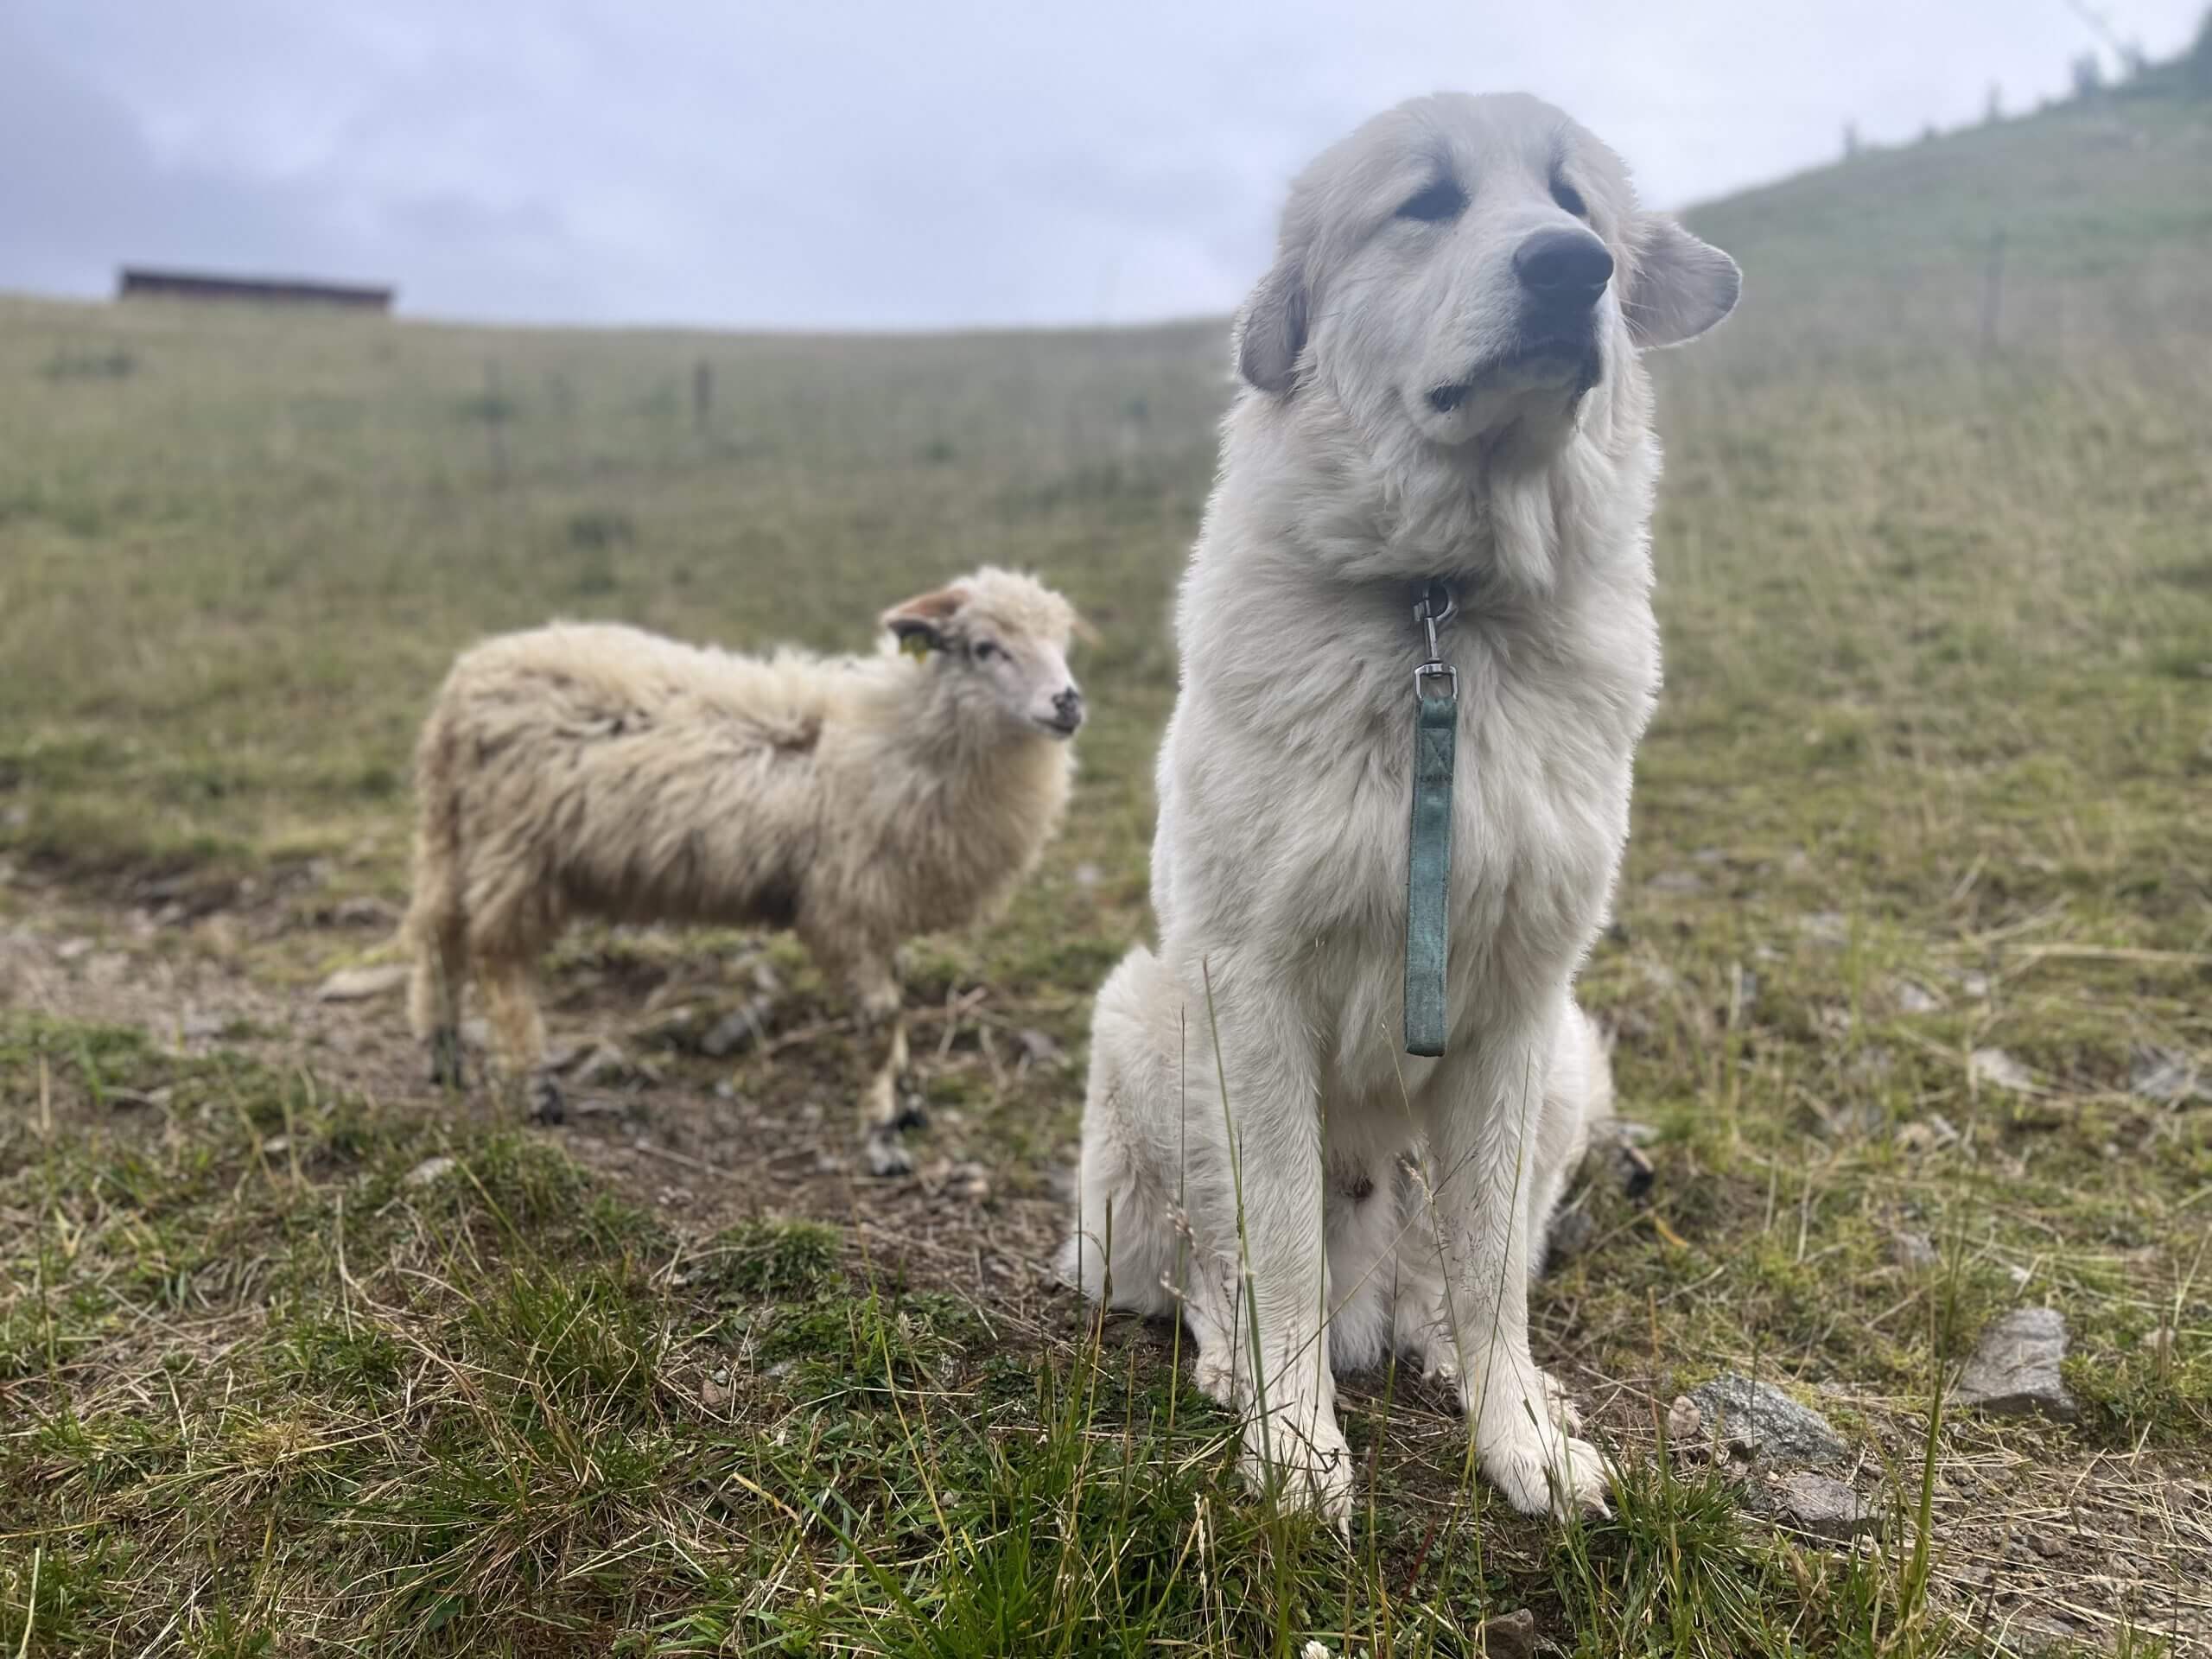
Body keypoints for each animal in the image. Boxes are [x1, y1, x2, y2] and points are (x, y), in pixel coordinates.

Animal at [404, 570, 1088, 1185]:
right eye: (985, 647)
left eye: (1062, 642)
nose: (1069, 702)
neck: (898, 739)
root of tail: (466, 682)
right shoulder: (845, 905)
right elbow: (879, 1021)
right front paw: (882, 1138)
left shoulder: (881, 905)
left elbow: (896, 1011)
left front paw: (909, 1102)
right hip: (516, 850)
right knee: (498, 958)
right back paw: (534, 1084)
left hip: (454, 832)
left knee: (437, 931)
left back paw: (443, 1055)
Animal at [1061, 87, 1734, 1522]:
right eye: (1426, 201)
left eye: (1577, 206)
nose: (1572, 270)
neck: (1440, 604)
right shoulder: (1251, 994)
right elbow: (1276, 1247)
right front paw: (1294, 1440)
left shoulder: (1518, 1009)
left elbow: (1486, 1267)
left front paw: (1516, 1432)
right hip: (1151, 1020)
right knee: (1215, 1270)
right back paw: (1238, 1365)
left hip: (1568, 1063)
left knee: (1450, 1263)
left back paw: (1439, 1347)